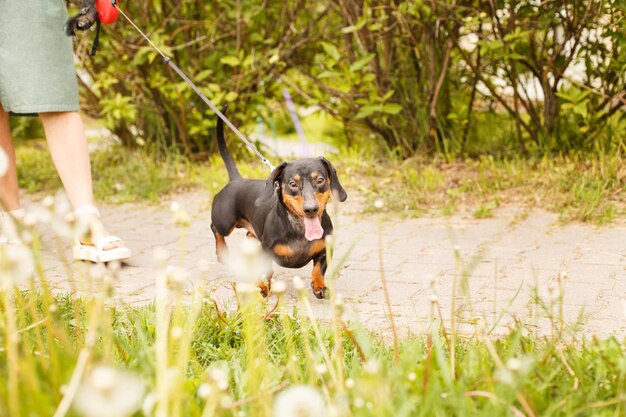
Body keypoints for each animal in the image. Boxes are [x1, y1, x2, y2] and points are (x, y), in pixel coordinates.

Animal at [210, 105, 346, 298]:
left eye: (320, 180)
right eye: (292, 183)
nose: (311, 209)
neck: (299, 229)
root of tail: (236, 180)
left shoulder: (324, 250)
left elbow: (318, 269)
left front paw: (319, 285)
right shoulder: (266, 251)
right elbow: (266, 270)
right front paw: (262, 286)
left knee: (248, 235)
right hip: (226, 221)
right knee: (216, 229)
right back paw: (222, 252)